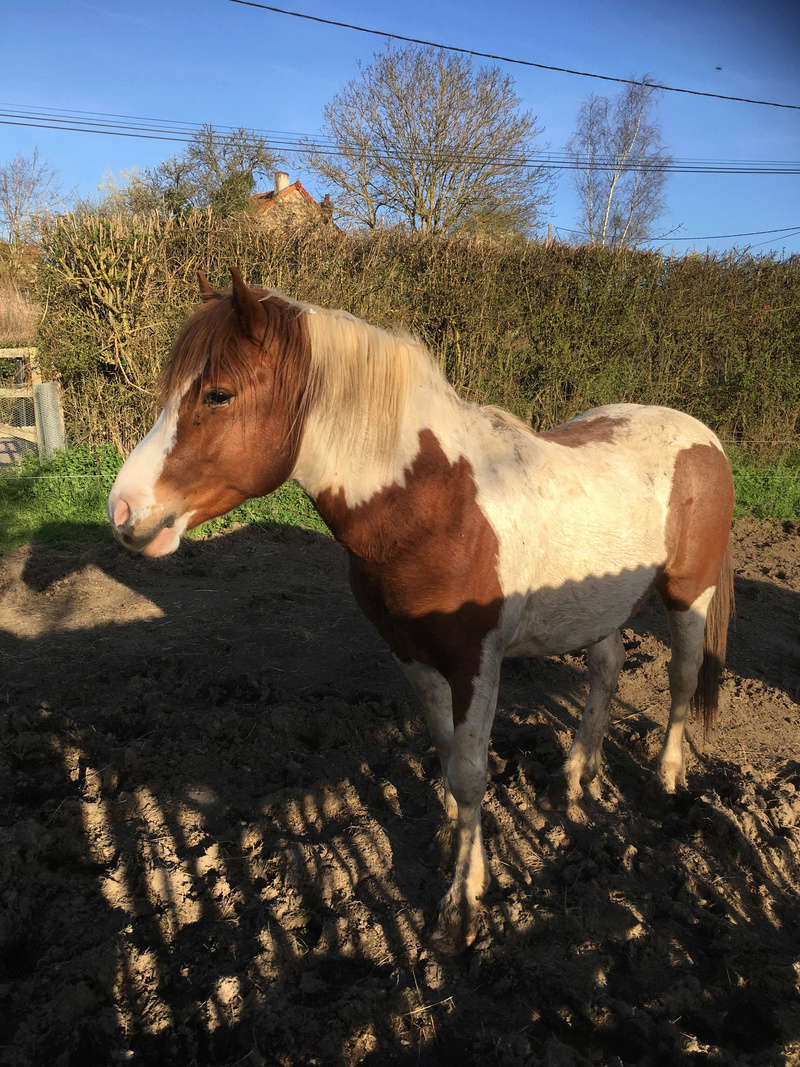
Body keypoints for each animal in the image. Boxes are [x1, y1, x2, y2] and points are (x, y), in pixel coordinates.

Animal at [109, 266, 738, 951]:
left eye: (218, 395)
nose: (124, 512)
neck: (436, 503)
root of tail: (704, 438)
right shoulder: (412, 656)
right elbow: (446, 754)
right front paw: (457, 849)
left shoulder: (475, 663)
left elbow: (470, 771)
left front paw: (462, 906)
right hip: (599, 604)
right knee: (608, 667)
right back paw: (576, 775)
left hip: (689, 595)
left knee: (681, 678)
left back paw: (666, 780)